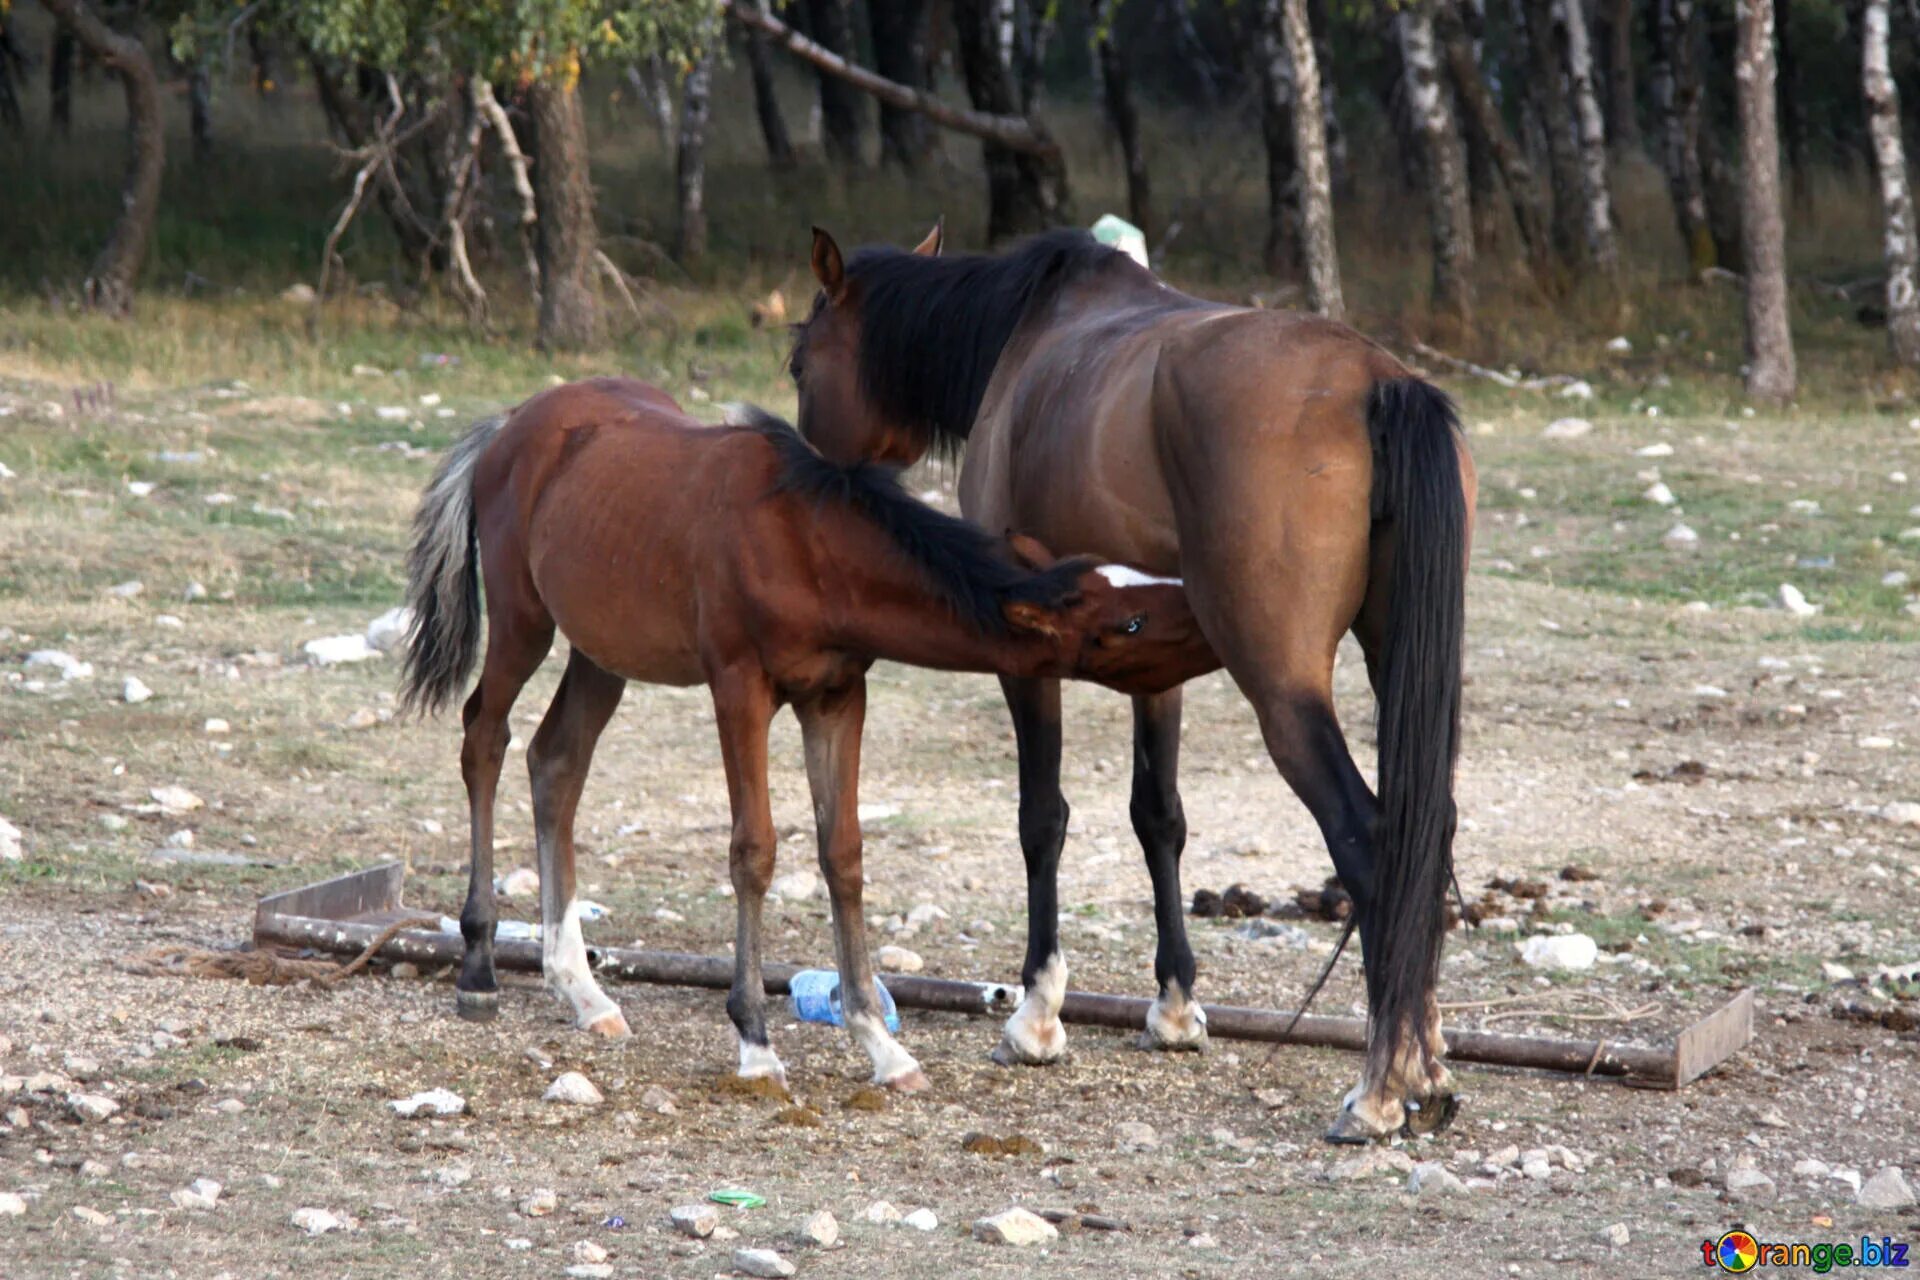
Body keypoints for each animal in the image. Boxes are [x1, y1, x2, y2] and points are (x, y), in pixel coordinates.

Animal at [397, 378, 1221, 1090]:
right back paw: (480, 963)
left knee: (556, 762)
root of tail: (512, 424)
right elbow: (754, 851)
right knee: (484, 739)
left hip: (603, 650)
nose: (1208, 610)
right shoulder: (740, 688)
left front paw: (881, 1044)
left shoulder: (836, 696)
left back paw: (581, 988)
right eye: (1129, 623)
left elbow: (843, 853)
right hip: (523, 620)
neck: (805, 543)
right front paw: (755, 1041)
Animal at [787, 227, 1474, 1143]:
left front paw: (1038, 1014)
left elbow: (1042, 819)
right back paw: (1426, 1063)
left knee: (1369, 838)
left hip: (1284, 691)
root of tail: (1376, 381)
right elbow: (1160, 819)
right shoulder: (1159, 663)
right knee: (1429, 834)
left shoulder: (1024, 656)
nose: (810, 493)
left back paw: (1381, 1088)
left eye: (800, 364)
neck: (1028, 331)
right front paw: (1175, 1007)